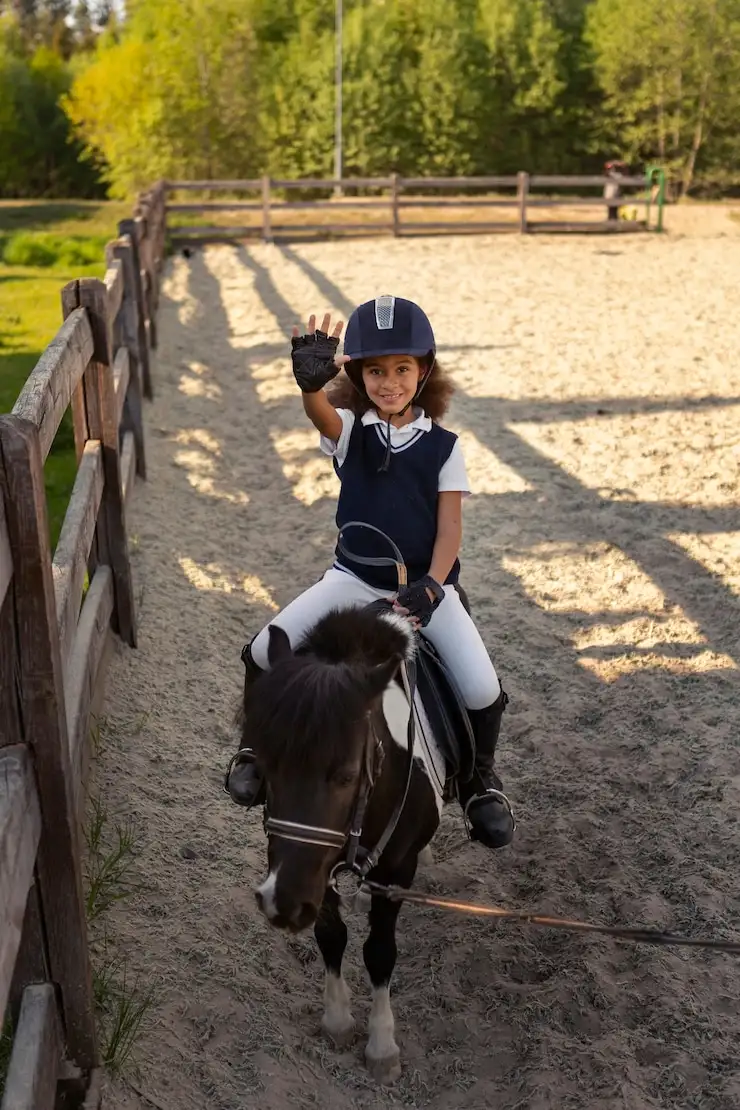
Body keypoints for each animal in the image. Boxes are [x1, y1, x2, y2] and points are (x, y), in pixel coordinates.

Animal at [245, 603, 448, 1084]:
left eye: (347, 775)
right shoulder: (318, 871)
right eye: (265, 765)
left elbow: (379, 951)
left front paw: (381, 1046)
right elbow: (331, 935)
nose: (280, 904)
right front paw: (337, 1020)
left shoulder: (395, 871)